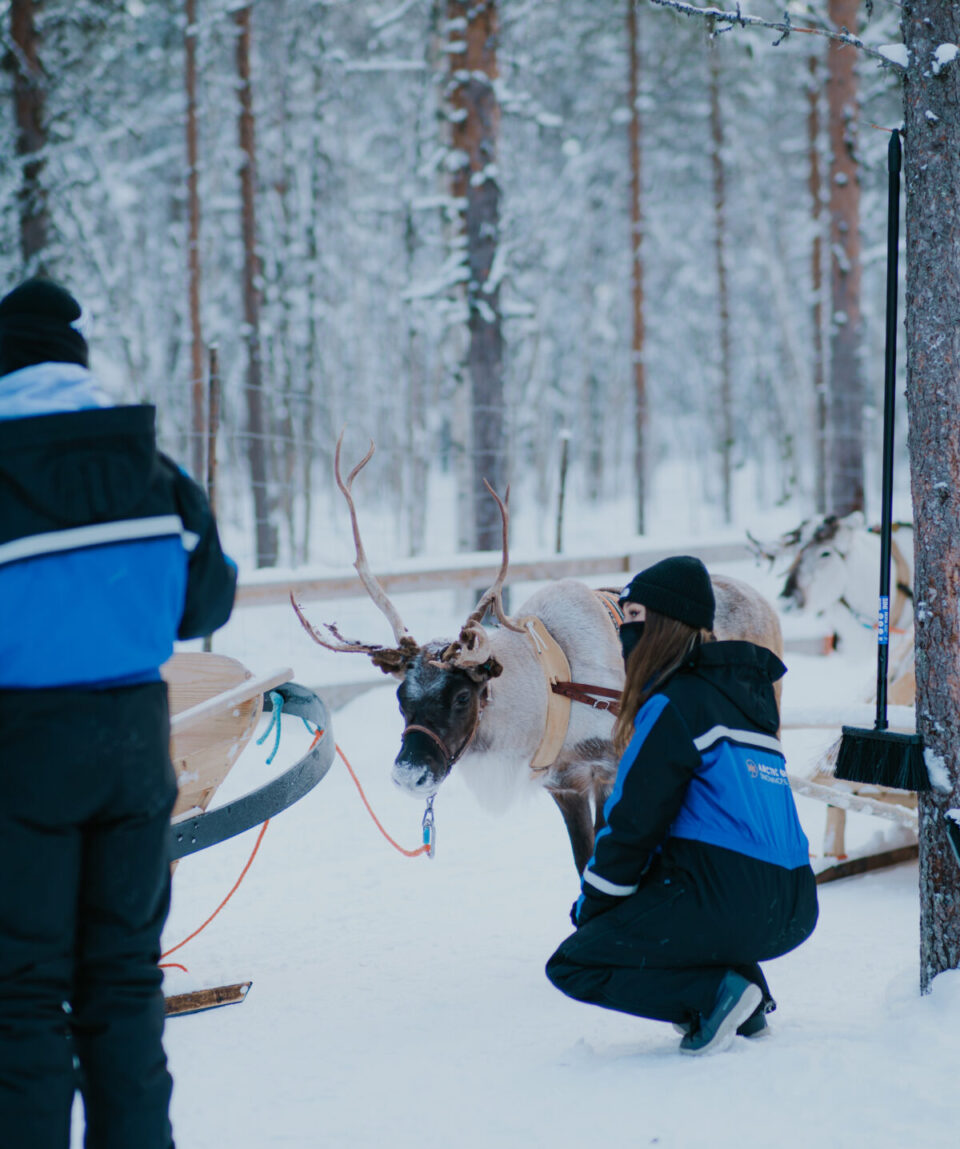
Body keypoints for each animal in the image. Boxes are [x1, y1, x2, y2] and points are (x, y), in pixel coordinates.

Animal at [292, 436, 785, 875]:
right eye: (401, 698)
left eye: (462, 697)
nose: (409, 775)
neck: (553, 689)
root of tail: (764, 601)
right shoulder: (564, 785)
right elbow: (582, 864)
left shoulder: (611, 771)